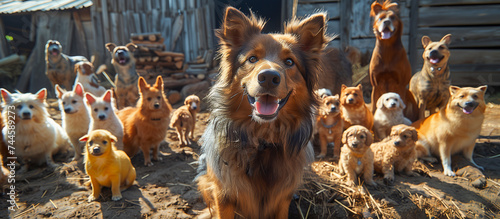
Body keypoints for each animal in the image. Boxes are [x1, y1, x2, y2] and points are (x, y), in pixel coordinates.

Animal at [195, 7, 324, 219]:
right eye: (252, 59)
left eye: (290, 62)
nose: (269, 77)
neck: (263, 140)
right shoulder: (223, 193)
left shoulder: (282, 198)